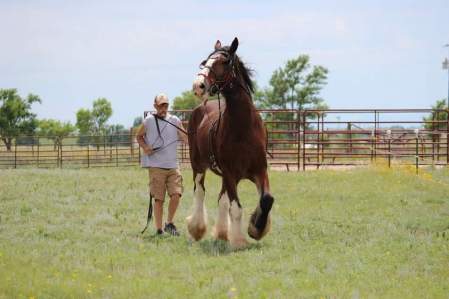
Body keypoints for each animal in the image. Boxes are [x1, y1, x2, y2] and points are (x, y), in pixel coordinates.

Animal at [186, 38, 272, 251]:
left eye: (224, 62)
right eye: (205, 61)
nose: (198, 85)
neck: (243, 127)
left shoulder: (260, 170)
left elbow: (266, 199)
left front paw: (256, 228)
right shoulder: (231, 173)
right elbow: (236, 208)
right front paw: (239, 240)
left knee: (221, 199)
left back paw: (222, 233)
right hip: (198, 166)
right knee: (200, 192)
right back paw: (197, 229)